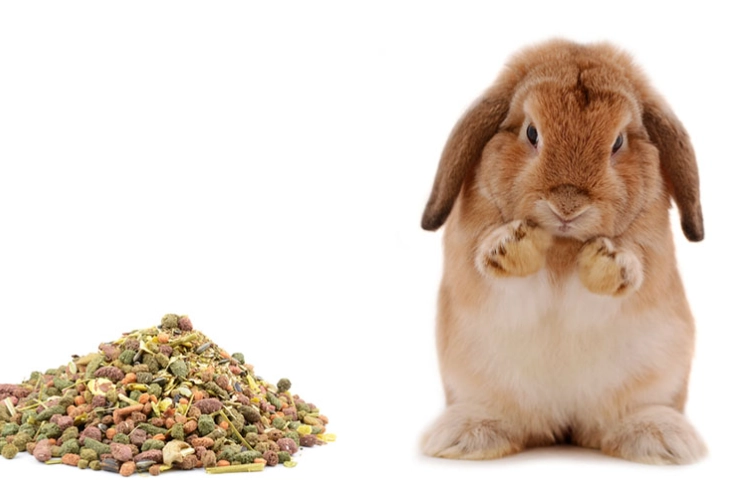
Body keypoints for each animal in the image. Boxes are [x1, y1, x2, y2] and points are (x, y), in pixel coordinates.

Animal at [420, 39, 706, 465]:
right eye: (531, 132)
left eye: (618, 142)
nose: (568, 206)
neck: (563, 245)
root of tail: (564, 426)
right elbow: (490, 259)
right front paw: (514, 243)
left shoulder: (651, 253)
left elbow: (634, 265)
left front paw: (607, 261)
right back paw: (466, 434)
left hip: (658, 378)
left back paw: (661, 438)